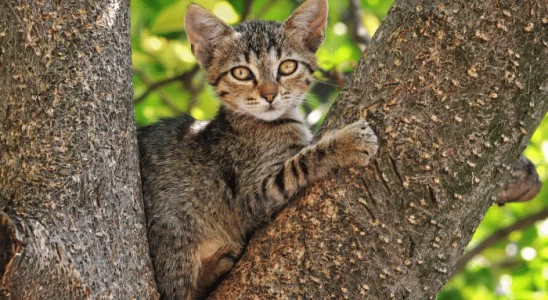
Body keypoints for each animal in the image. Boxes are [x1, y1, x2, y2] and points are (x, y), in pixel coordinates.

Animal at [137, 1, 378, 298]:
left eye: (287, 67)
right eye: (241, 73)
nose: (270, 94)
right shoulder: (250, 197)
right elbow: (301, 162)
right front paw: (347, 141)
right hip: (175, 227)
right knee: (179, 291)